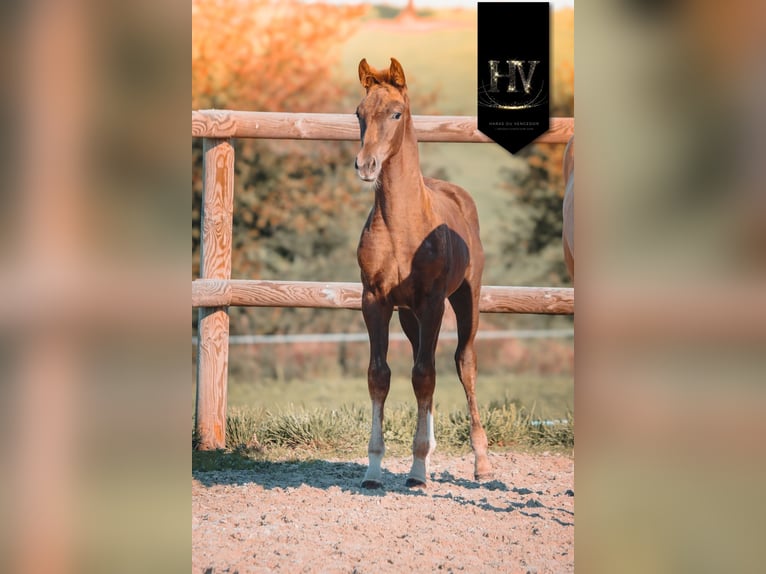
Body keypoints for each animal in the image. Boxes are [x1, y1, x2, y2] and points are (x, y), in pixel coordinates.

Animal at [354, 57, 492, 488]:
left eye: (396, 113)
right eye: (359, 113)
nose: (366, 166)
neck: (402, 224)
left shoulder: (432, 303)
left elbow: (426, 375)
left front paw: (416, 469)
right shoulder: (375, 301)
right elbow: (380, 375)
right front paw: (374, 468)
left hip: (464, 298)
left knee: (463, 363)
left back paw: (482, 463)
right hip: (409, 316)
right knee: (421, 359)